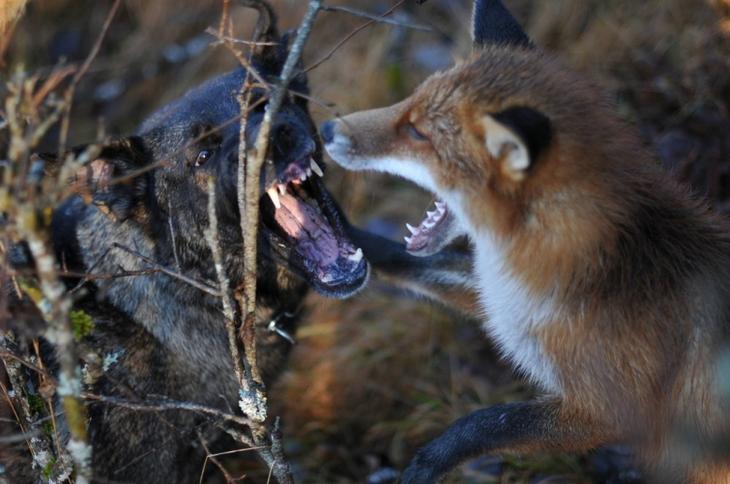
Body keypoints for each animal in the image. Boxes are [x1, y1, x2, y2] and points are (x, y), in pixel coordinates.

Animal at [322, 0, 728, 484]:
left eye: (418, 132)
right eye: (408, 100)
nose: (325, 129)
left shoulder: (606, 410)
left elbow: (484, 422)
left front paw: (426, 464)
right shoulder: (500, 305)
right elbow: (402, 261)